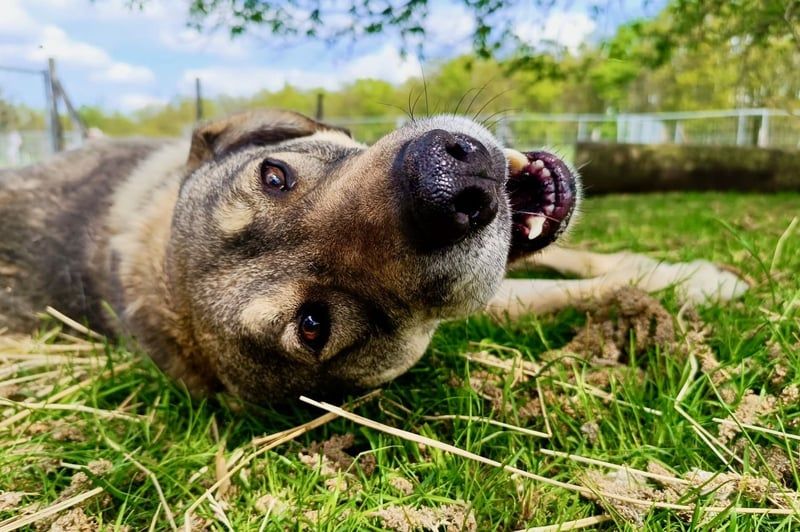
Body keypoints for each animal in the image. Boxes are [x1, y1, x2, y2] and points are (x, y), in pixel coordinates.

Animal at [0, 110, 747, 403]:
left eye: (276, 176)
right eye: (313, 325)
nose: (448, 185)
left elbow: (582, 255)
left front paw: (675, 268)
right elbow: (553, 292)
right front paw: (693, 286)